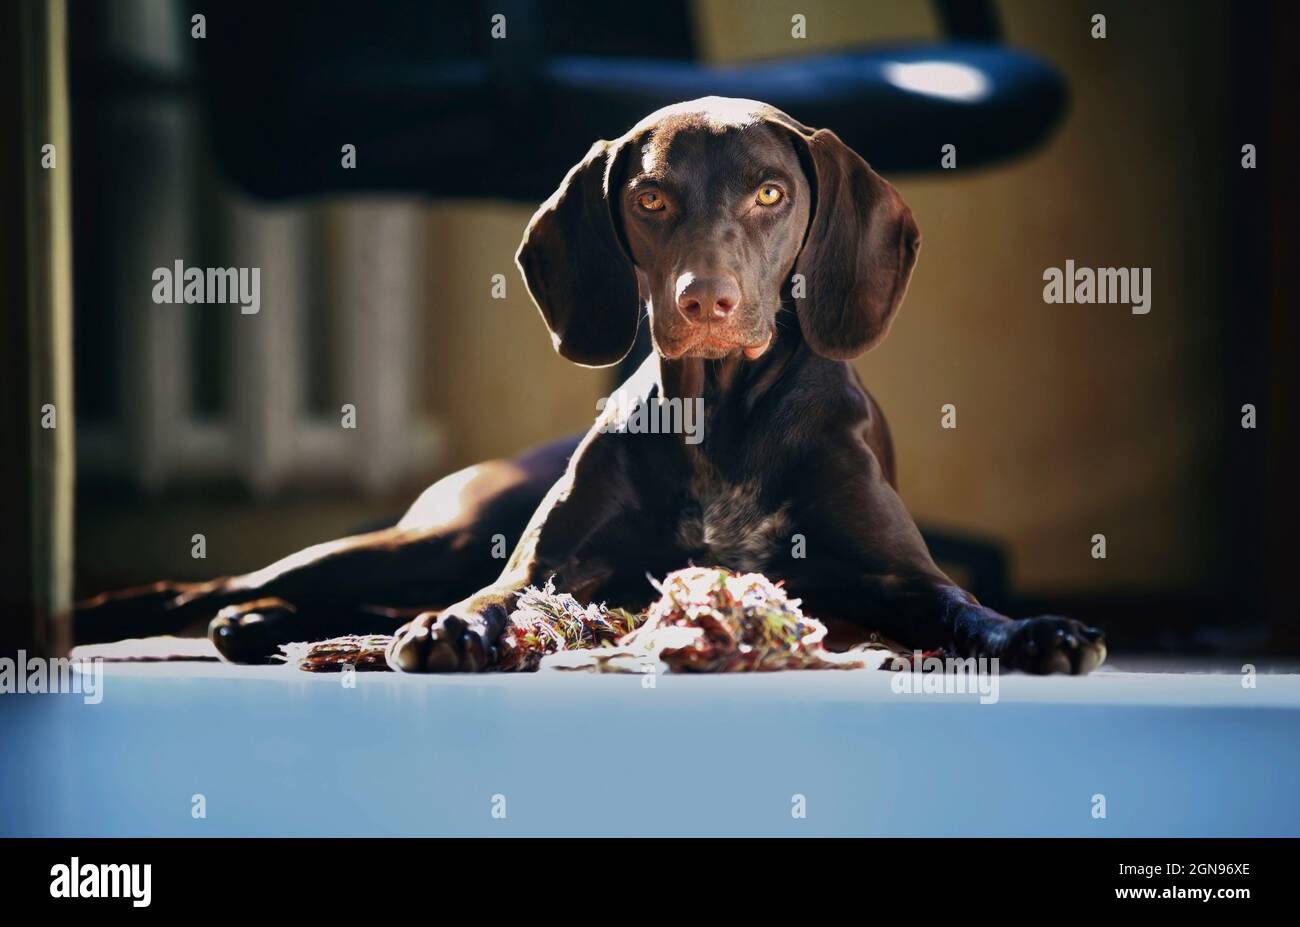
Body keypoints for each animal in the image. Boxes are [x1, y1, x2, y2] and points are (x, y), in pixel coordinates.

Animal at [73, 99, 1107, 670]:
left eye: (771, 192)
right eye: (650, 197)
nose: (705, 301)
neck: (723, 415)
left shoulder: (896, 575)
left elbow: (962, 606)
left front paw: (1035, 630)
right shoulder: (541, 563)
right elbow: (500, 593)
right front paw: (456, 630)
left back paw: (254, 623)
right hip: (430, 537)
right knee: (217, 580)